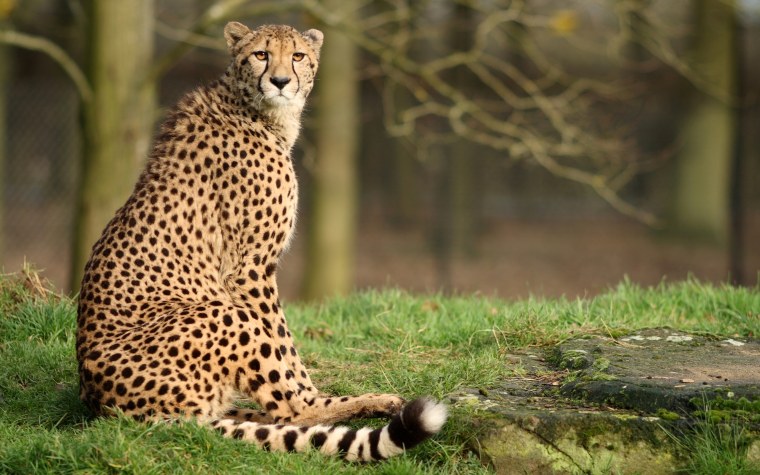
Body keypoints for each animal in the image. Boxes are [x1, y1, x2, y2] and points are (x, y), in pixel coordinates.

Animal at [75, 22, 447, 462]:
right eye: (261, 54)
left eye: (298, 55)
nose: (281, 81)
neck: (257, 111)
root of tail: (110, 407)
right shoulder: (249, 270)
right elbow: (285, 348)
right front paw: (312, 390)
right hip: (221, 312)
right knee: (291, 411)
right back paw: (362, 404)